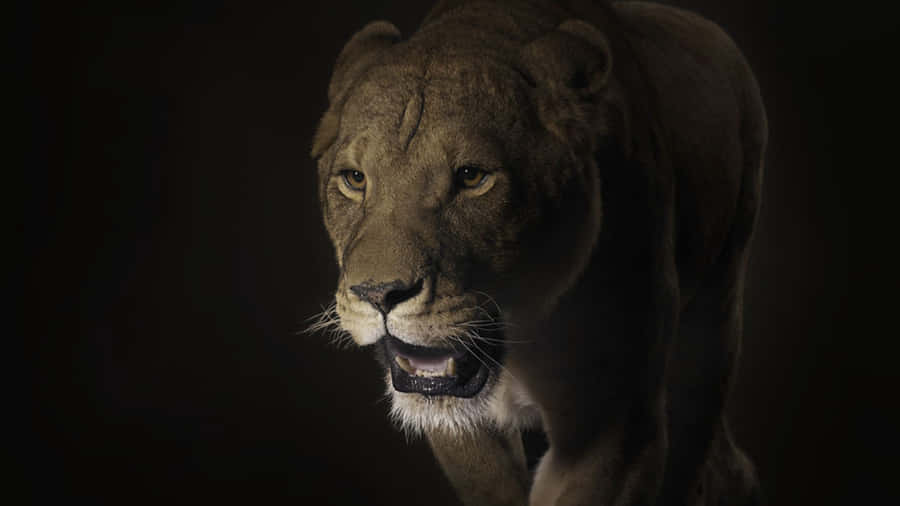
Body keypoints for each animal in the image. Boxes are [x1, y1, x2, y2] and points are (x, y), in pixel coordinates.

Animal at [310, 0, 767, 504]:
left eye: (472, 177)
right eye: (354, 179)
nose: (378, 294)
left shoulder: (613, 427)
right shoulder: (467, 436)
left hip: (715, 314)